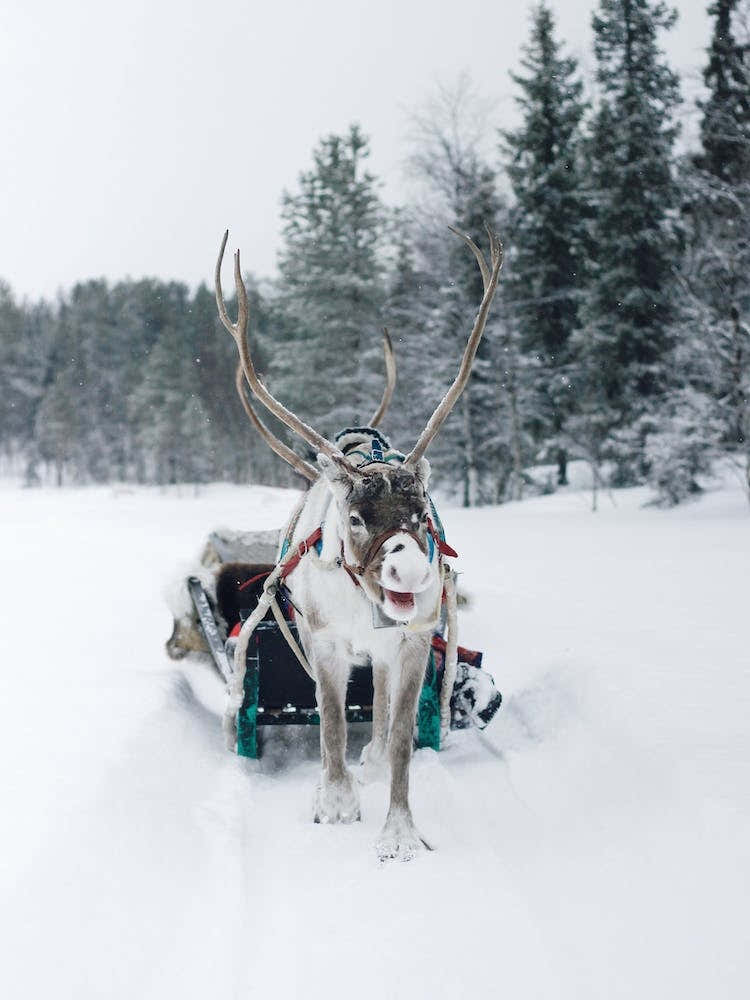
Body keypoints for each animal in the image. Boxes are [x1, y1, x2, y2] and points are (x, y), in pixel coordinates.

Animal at [215, 225, 503, 861]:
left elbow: (398, 737)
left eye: (420, 513)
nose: (411, 574)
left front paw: (399, 832)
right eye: (355, 517)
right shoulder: (322, 640)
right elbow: (330, 723)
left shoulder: (413, 642)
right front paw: (336, 802)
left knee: (381, 705)